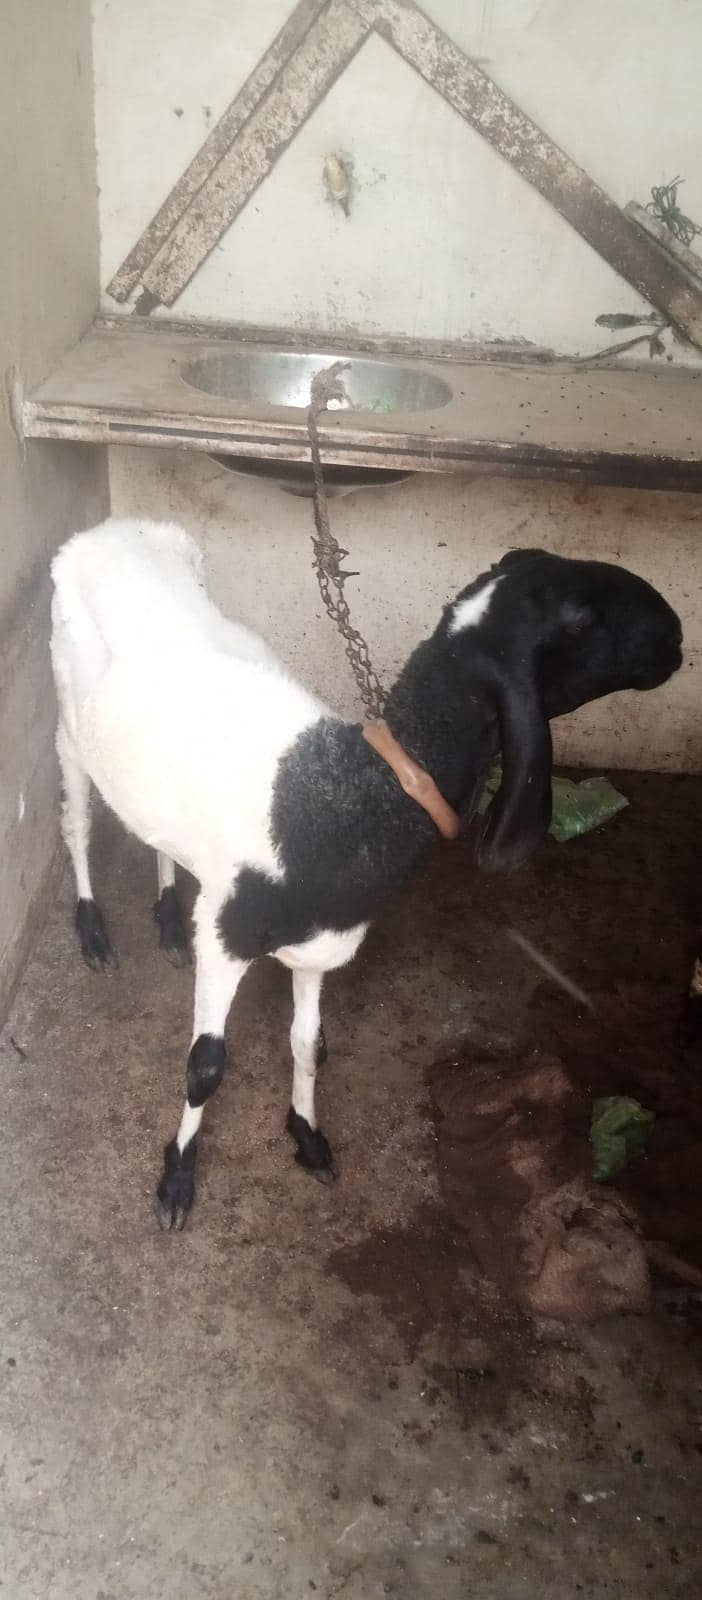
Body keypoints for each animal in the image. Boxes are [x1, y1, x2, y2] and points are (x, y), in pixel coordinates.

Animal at [50, 517, 682, 1230]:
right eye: (577, 619)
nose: (674, 631)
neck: (344, 803)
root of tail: (115, 530)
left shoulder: (317, 949)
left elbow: (308, 1043)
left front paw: (307, 1136)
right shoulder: (225, 936)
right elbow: (205, 1067)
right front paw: (176, 1182)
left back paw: (163, 919)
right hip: (68, 720)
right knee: (76, 822)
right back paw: (93, 932)